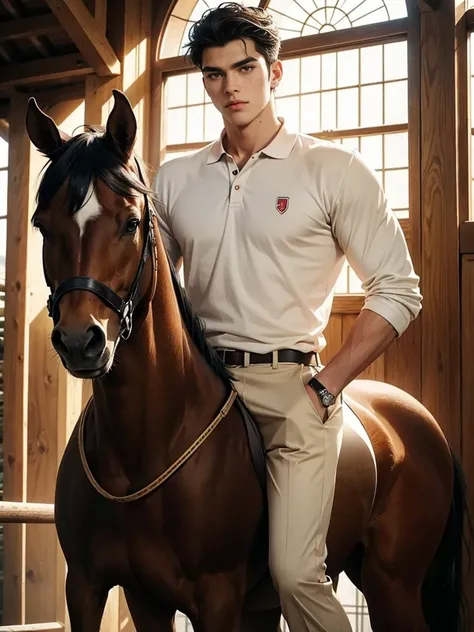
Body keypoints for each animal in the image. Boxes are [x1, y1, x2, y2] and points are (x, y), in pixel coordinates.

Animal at [25, 90, 470, 632]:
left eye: (130, 222)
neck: (142, 450)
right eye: (42, 226)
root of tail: (422, 419)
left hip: (393, 587)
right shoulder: (105, 591)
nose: (79, 341)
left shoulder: (217, 597)